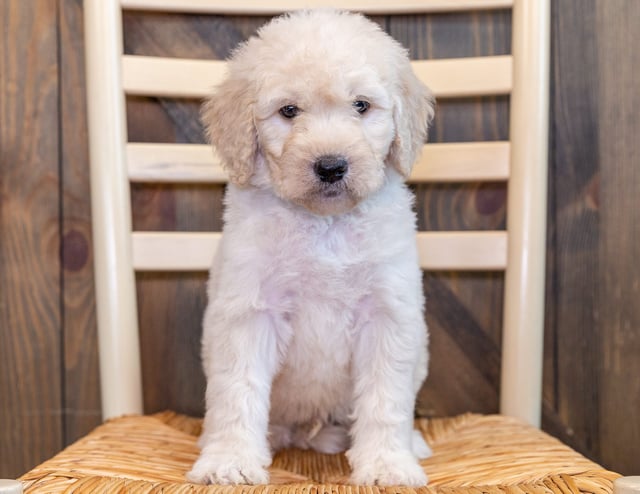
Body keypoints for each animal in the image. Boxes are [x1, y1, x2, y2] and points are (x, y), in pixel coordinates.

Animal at [185, 9, 436, 488]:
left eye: (361, 106)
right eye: (289, 111)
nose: (331, 165)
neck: (325, 226)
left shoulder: (387, 315)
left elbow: (385, 399)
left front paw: (387, 464)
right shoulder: (250, 311)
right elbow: (238, 390)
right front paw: (230, 460)